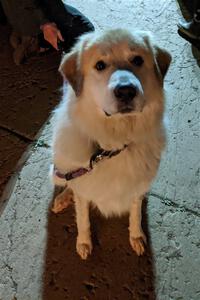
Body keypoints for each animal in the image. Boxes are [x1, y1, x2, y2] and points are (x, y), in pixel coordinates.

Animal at [50, 28, 170, 260]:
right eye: (100, 65)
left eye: (138, 60)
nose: (126, 90)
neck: (113, 145)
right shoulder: (83, 190)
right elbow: (83, 219)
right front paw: (84, 242)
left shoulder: (135, 188)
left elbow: (135, 214)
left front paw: (136, 236)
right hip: (58, 169)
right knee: (68, 183)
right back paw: (62, 199)